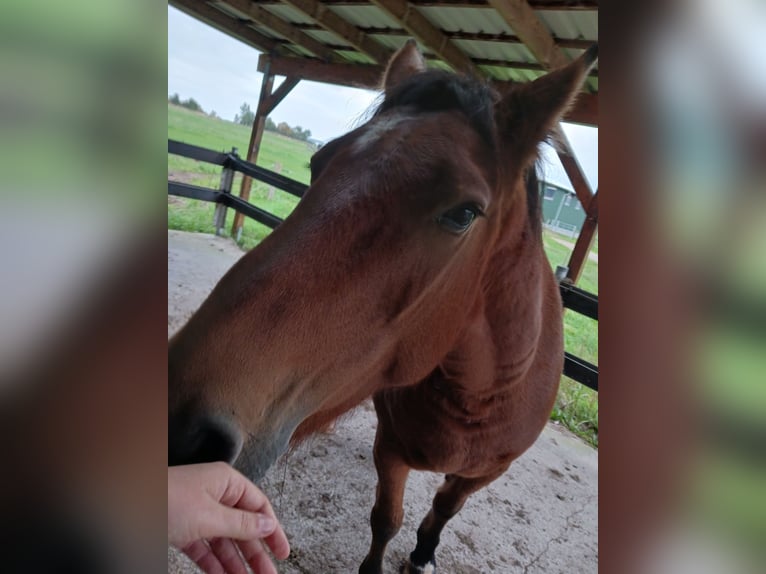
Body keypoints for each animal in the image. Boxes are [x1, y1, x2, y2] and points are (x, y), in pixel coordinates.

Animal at [169, 40, 597, 573]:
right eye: (318, 163)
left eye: (464, 214)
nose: (182, 427)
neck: (479, 396)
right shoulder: (391, 449)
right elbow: (385, 520)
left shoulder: (485, 473)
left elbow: (444, 507)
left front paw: (424, 552)